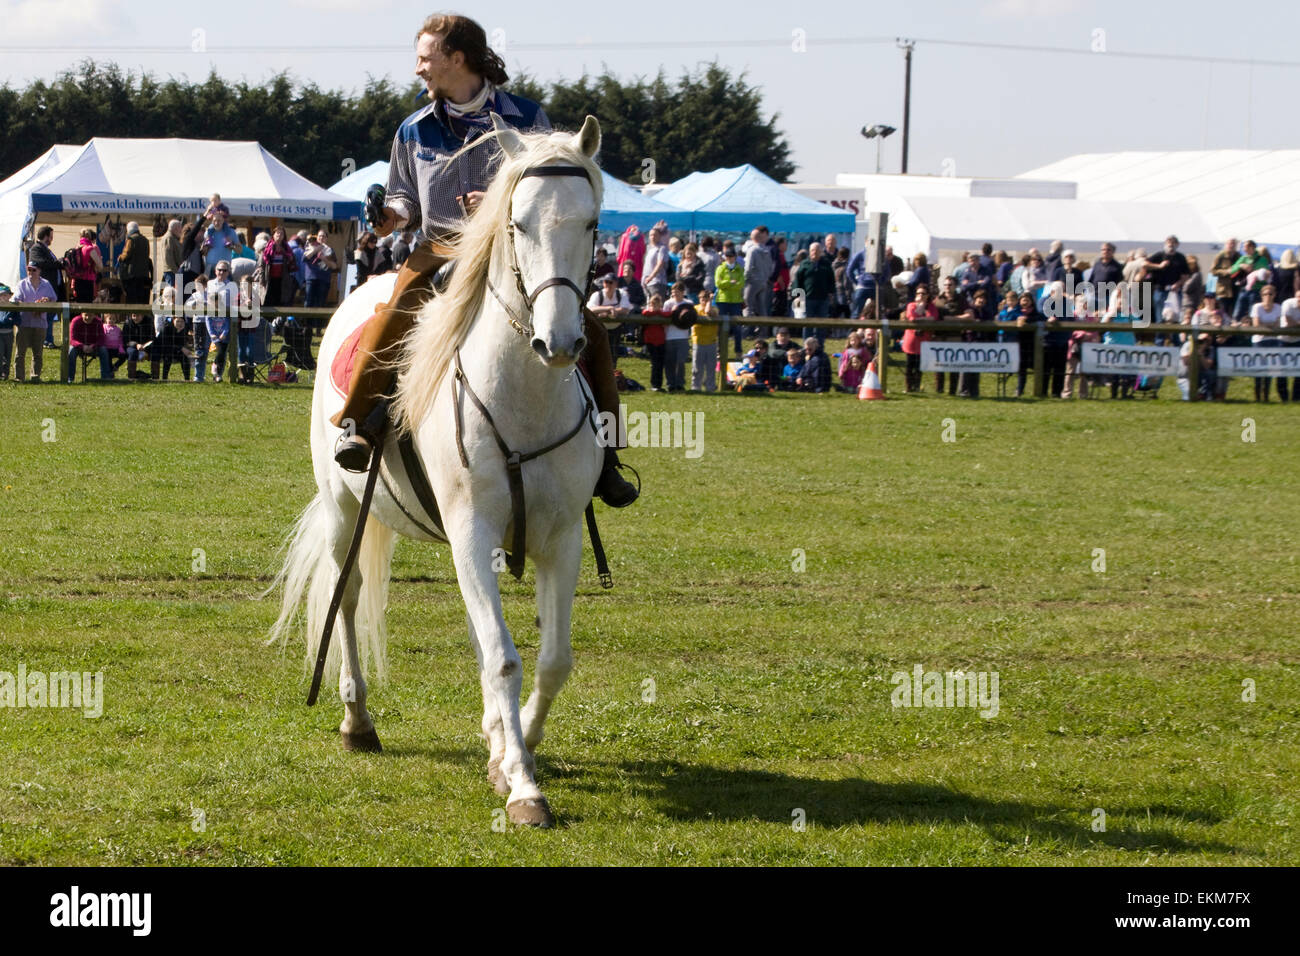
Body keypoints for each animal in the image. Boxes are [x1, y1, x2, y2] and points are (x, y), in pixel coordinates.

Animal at [271, 115, 605, 827]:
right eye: (519, 223)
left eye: (591, 222)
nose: (560, 342)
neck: (522, 397)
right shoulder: (472, 532)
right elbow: (504, 659)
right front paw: (524, 786)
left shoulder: (558, 539)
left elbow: (550, 658)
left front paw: (517, 743)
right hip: (344, 511)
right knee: (348, 596)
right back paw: (357, 721)